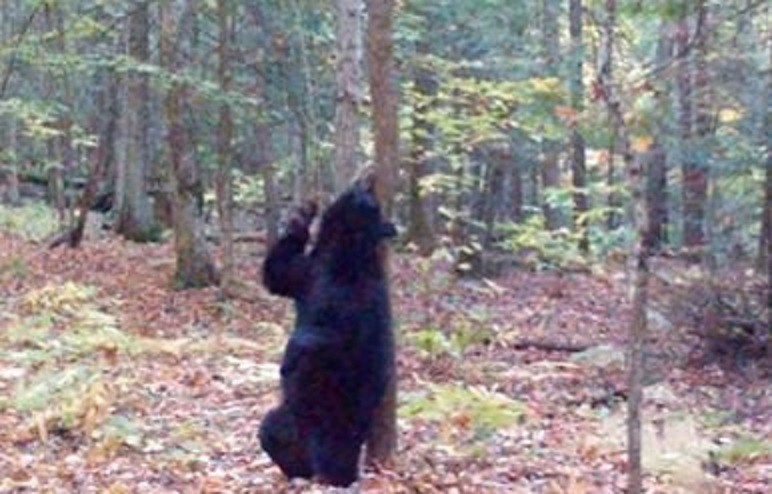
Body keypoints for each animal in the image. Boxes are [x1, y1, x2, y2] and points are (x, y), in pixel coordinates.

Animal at [260, 175, 398, 486]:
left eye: (374, 206)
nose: (366, 182)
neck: (339, 260)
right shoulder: (307, 274)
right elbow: (278, 273)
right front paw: (301, 214)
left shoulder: (360, 301)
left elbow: (333, 338)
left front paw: (294, 353)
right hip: (285, 419)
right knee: (271, 433)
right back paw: (296, 471)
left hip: (340, 418)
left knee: (335, 454)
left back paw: (335, 476)